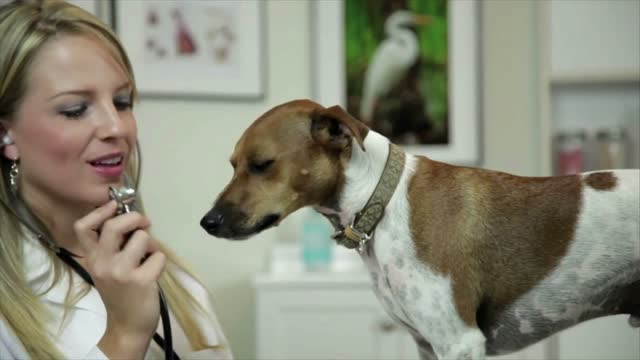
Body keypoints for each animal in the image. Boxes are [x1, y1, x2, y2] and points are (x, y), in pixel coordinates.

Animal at [201, 99, 640, 360]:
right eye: (232, 165)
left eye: (261, 164)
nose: (208, 222)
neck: (386, 201)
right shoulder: (427, 345)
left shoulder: (459, 342)